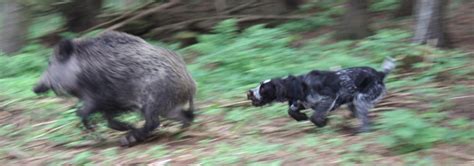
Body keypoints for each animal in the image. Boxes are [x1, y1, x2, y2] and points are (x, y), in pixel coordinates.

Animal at [246, 57, 394, 133]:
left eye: (263, 89)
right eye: (260, 85)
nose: (249, 93)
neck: (300, 86)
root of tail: (379, 74)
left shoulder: (329, 98)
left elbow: (314, 117)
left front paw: (323, 122)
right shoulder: (303, 102)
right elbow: (291, 111)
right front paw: (301, 117)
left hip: (361, 99)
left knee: (366, 122)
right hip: (354, 103)